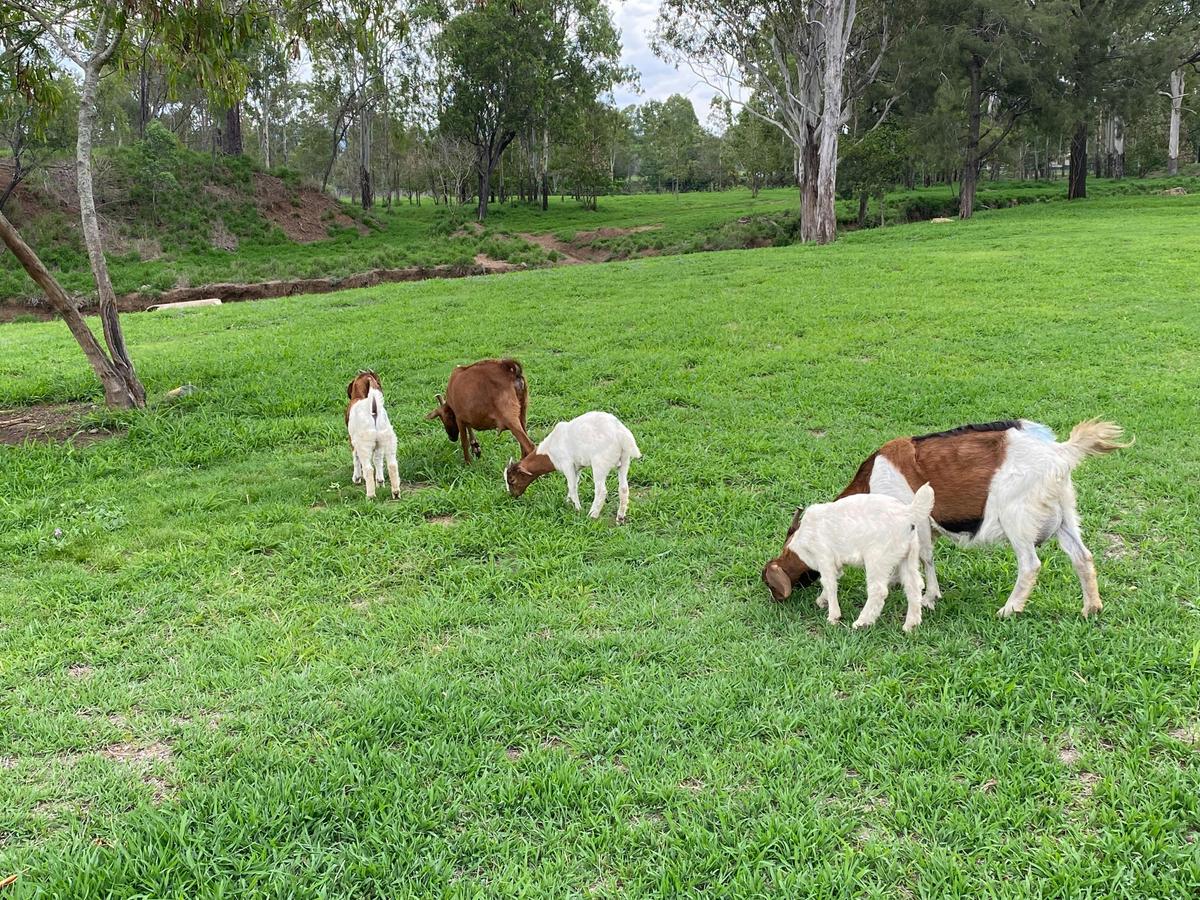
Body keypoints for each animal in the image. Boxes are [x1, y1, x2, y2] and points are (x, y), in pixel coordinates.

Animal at [504, 411, 641, 524]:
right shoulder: (577, 467)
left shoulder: (567, 464)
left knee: (601, 491)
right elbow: (575, 483)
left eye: (512, 480)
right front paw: (568, 502)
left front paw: (577, 509)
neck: (549, 452)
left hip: (600, 464)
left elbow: (572, 486)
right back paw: (620, 518)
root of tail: (621, 434)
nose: (513, 496)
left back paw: (592, 515)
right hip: (625, 461)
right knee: (623, 488)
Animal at [786, 485, 934, 632]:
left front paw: (833, 616)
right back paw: (911, 624)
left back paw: (862, 622)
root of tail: (908, 513)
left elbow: (829, 583)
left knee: (878, 590)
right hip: (909, 555)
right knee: (914, 585)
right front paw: (823, 600)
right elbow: (835, 577)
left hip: (877, 558)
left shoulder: (824, 556)